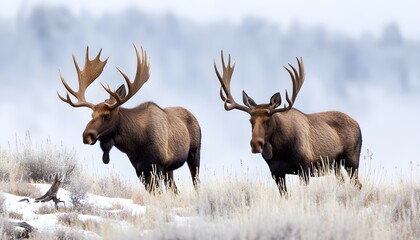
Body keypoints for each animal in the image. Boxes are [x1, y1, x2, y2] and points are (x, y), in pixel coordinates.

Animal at [58, 45, 201, 194]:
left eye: (107, 115)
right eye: (92, 115)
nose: (86, 135)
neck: (136, 145)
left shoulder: (158, 165)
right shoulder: (140, 170)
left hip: (194, 153)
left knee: (196, 182)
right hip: (170, 168)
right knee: (175, 190)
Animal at [215, 51, 362, 195]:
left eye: (268, 121)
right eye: (250, 120)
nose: (256, 144)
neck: (281, 152)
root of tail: (357, 124)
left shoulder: (305, 167)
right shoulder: (276, 172)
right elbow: (284, 195)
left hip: (352, 159)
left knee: (358, 184)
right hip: (336, 165)